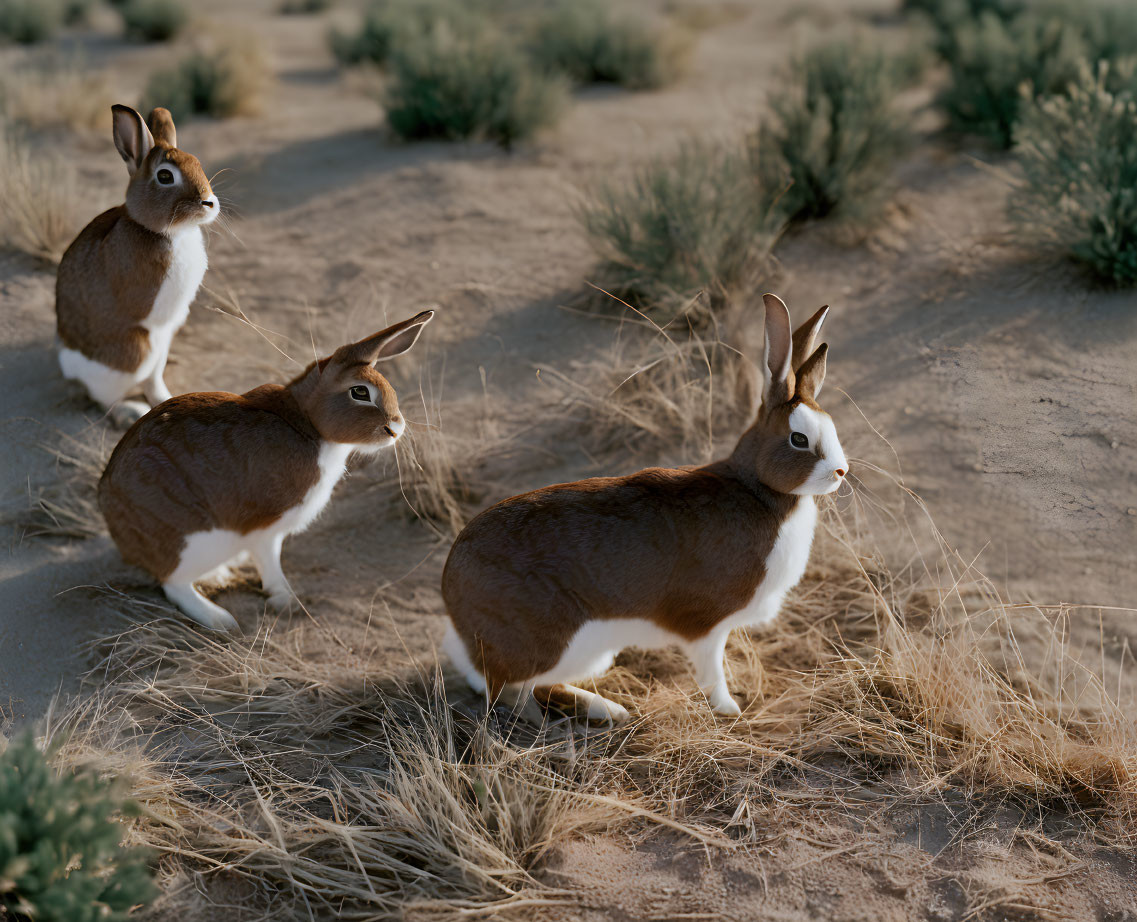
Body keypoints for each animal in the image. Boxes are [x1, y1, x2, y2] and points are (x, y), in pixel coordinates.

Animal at [55, 105, 219, 429]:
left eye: (197, 162)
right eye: (165, 176)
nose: (209, 202)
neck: (161, 231)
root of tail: (71, 370)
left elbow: (156, 383)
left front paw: (169, 401)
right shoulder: (153, 311)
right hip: (136, 353)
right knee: (105, 399)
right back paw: (131, 412)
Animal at [100, 309, 434, 636]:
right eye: (360, 392)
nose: (396, 428)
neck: (308, 424)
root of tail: (117, 526)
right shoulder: (265, 529)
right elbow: (271, 563)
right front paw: (288, 602)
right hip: (191, 541)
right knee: (173, 584)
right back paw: (221, 620)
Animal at [441, 291, 845, 723]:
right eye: (799, 439)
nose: (841, 471)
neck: (755, 487)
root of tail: (451, 591)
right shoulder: (705, 626)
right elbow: (711, 671)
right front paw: (730, 710)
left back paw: (608, 709)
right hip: (555, 644)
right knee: (510, 692)